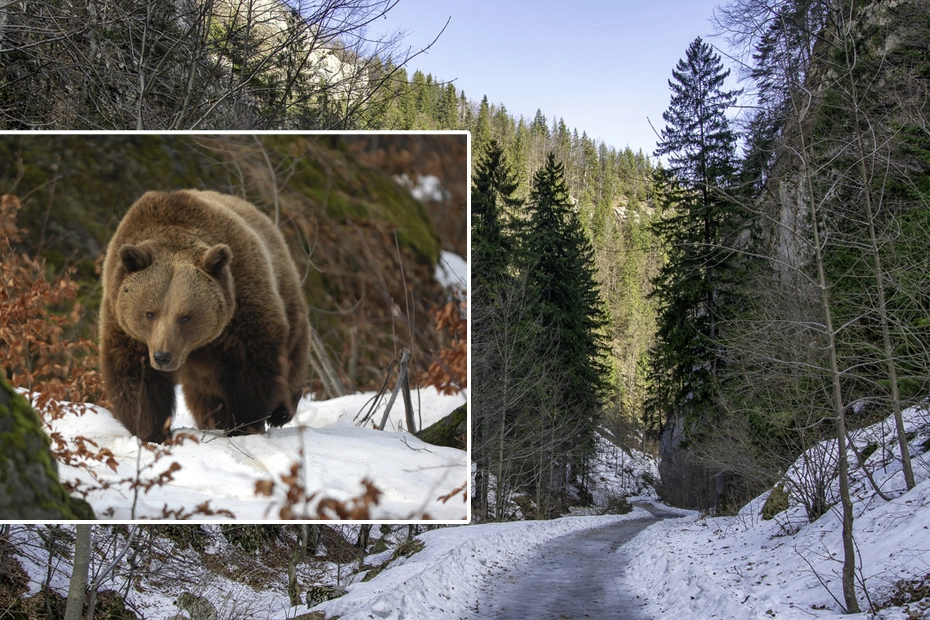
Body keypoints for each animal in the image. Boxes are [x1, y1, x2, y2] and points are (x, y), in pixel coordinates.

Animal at [99, 191, 312, 444]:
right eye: (149, 313)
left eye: (185, 317)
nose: (162, 357)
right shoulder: (126, 327)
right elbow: (136, 378)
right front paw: (152, 431)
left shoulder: (240, 308)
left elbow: (252, 368)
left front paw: (243, 424)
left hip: (285, 289)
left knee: (293, 351)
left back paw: (281, 411)